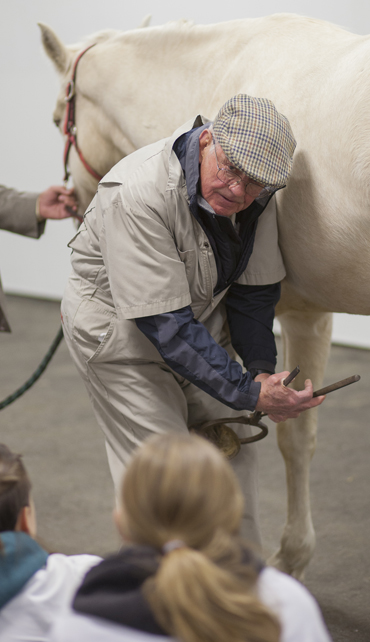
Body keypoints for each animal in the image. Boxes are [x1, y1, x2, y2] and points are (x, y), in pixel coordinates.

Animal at [39, 13, 370, 576]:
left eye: (62, 115)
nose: (73, 203)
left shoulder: (280, 312)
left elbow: (278, 435)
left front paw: (284, 558)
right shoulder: (310, 312)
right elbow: (296, 434)